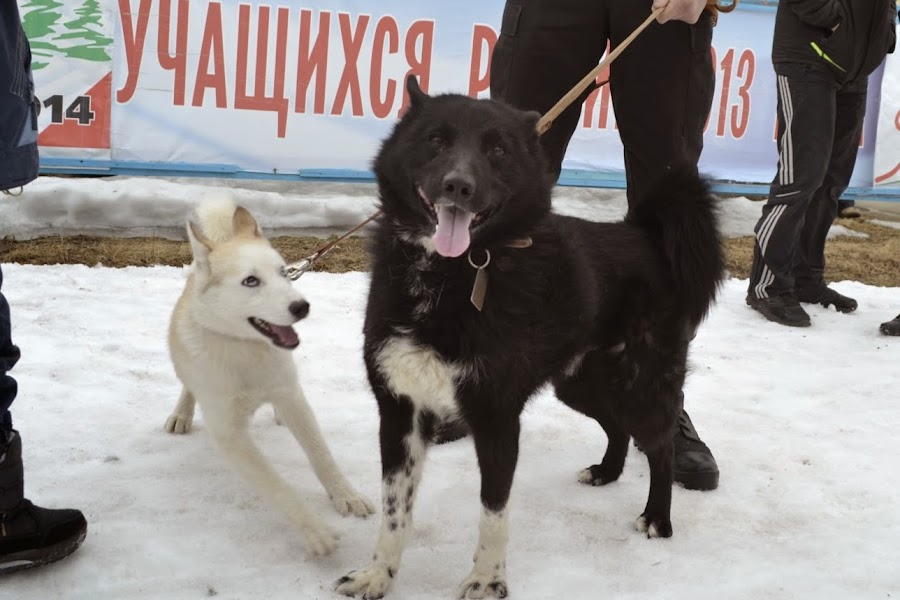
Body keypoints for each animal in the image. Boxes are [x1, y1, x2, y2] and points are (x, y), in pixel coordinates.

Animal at [165, 199, 372, 556]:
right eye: (250, 281)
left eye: (283, 273)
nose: (302, 307)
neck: (247, 350)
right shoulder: (230, 435)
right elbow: (277, 486)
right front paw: (314, 529)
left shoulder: (293, 398)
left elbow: (321, 456)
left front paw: (346, 494)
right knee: (187, 385)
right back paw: (182, 412)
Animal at [338, 76, 724, 600]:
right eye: (435, 139)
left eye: (497, 149)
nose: (458, 186)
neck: (449, 275)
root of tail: (642, 235)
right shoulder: (400, 412)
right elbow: (395, 511)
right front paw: (378, 574)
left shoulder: (498, 418)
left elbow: (493, 513)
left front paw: (487, 580)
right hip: (579, 382)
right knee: (616, 427)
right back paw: (606, 472)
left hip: (640, 382)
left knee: (659, 444)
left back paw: (656, 518)